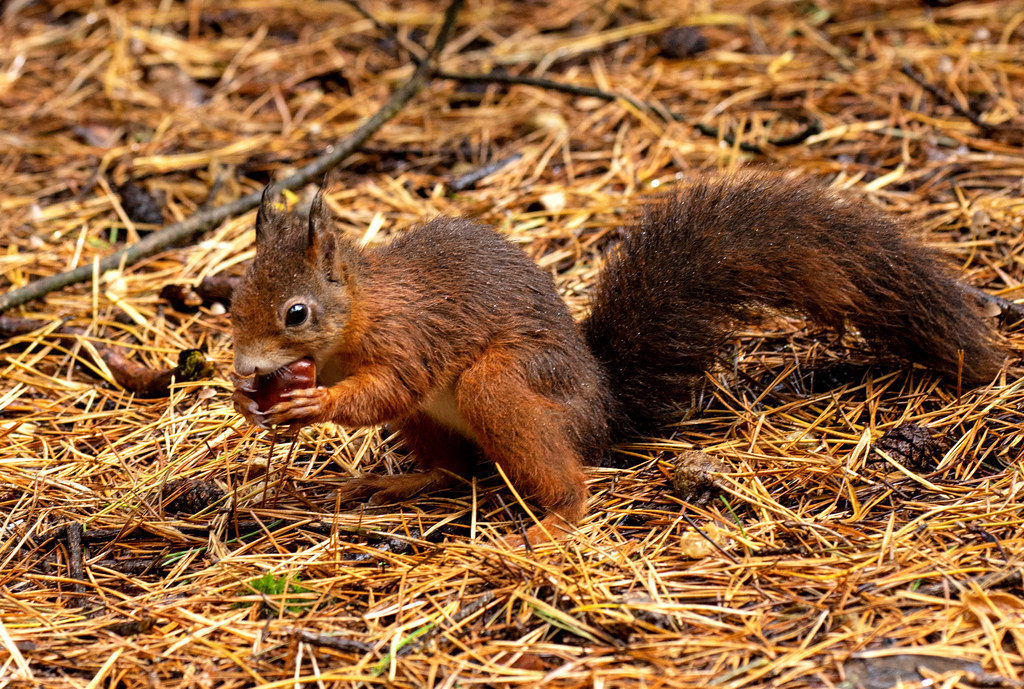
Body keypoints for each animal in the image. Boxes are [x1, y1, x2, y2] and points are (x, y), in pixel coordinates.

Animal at [230, 170, 1006, 545]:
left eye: (296, 313)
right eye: (232, 296)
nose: (243, 370)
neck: (356, 316)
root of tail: (605, 407)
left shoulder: (412, 336)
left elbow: (388, 387)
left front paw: (317, 402)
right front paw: (253, 406)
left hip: (505, 385)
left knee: (553, 464)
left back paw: (553, 521)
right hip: (438, 422)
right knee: (449, 469)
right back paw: (392, 485)